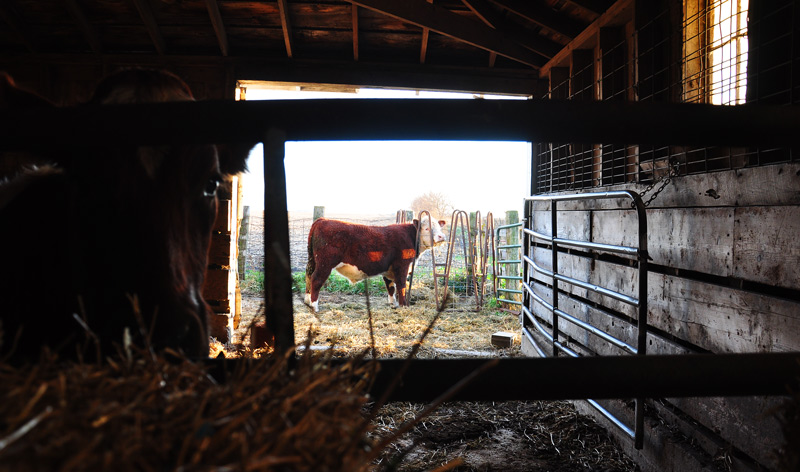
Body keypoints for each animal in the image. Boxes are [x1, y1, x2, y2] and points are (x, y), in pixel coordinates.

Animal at [303, 217, 448, 312]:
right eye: (427, 228)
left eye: (439, 227)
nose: (441, 236)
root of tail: (322, 220)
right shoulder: (402, 266)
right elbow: (401, 286)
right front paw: (403, 305)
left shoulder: (389, 270)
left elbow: (391, 287)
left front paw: (393, 304)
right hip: (325, 264)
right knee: (316, 280)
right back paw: (315, 306)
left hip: (313, 261)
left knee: (308, 277)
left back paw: (307, 301)